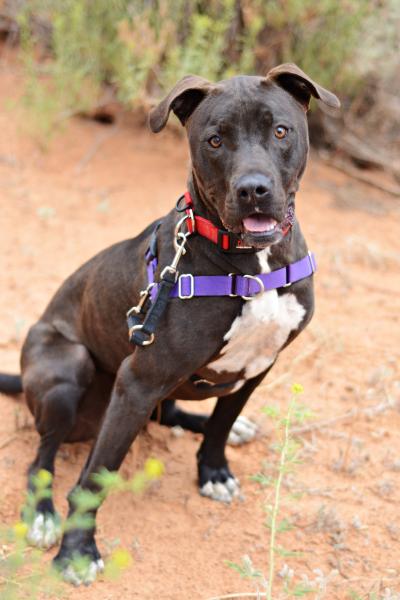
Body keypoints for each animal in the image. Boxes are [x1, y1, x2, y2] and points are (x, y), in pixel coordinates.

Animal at [0, 63, 338, 584]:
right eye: (215, 140)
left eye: (281, 131)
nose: (253, 190)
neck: (251, 261)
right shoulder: (139, 381)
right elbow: (94, 477)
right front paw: (77, 551)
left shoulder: (258, 366)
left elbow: (221, 422)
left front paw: (214, 470)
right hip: (67, 368)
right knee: (43, 454)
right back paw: (41, 515)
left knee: (176, 413)